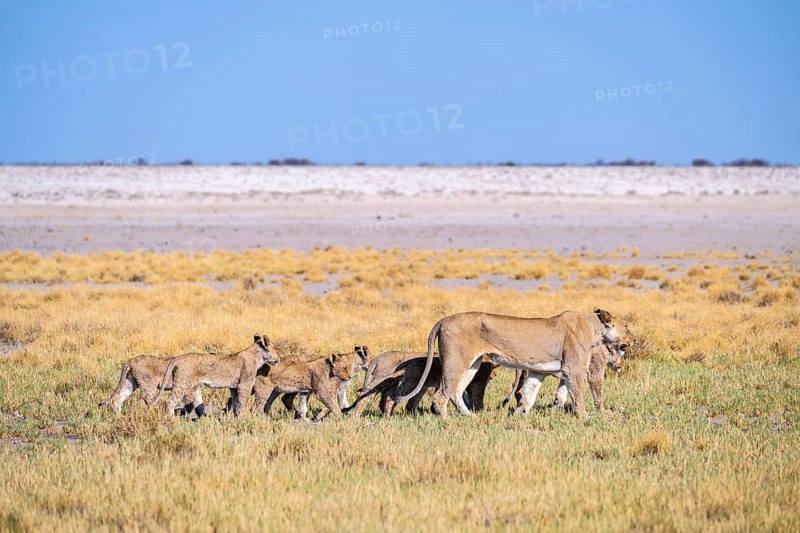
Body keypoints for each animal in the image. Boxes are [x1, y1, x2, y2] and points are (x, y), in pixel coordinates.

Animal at [346, 351, 495, 416]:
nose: (493, 376)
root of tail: (377, 358)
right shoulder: (476, 384)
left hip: (393, 383)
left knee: (384, 398)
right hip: (390, 381)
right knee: (368, 396)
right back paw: (358, 415)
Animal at [395, 308, 633, 417]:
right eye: (627, 327)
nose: (635, 340)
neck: (594, 330)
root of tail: (443, 320)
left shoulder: (539, 371)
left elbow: (530, 393)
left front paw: (520, 413)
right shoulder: (573, 368)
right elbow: (580, 395)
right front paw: (587, 416)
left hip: (472, 364)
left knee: (455, 392)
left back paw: (470, 417)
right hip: (456, 362)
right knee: (440, 395)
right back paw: (446, 420)